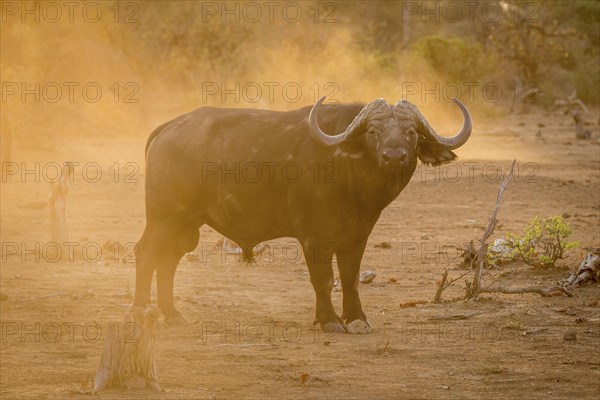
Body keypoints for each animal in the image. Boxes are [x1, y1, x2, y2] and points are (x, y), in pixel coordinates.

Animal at [136, 96, 474, 332]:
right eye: (373, 131)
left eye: (411, 131)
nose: (394, 156)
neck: (348, 175)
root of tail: (168, 128)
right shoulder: (314, 236)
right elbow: (323, 279)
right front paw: (329, 321)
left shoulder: (358, 236)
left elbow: (350, 278)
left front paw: (356, 318)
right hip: (163, 217)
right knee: (147, 254)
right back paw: (140, 311)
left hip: (185, 224)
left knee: (169, 261)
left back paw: (173, 315)